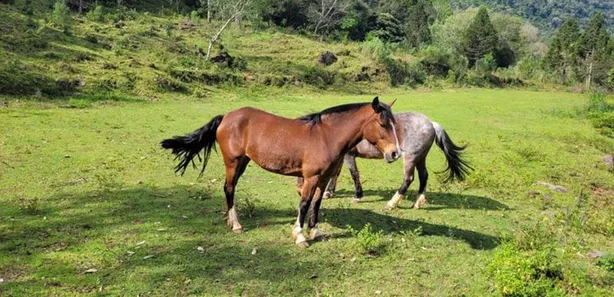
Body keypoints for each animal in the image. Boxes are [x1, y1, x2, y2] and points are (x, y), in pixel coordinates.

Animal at [162, 96, 404, 245]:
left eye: (393, 123)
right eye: (383, 124)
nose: (395, 153)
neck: (326, 136)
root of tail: (226, 116)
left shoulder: (323, 178)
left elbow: (316, 203)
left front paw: (315, 230)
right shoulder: (310, 178)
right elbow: (304, 204)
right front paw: (300, 236)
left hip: (242, 163)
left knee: (229, 188)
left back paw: (229, 220)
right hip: (233, 162)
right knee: (229, 189)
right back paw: (236, 224)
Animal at [322, 111, 472, 210]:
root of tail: (430, 123)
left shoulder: (349, 155)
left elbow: (354, 174)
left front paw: (357, 196)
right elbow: (335, 174)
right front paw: (328, 193)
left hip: (410, 157)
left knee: (408, 178)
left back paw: (391, 204)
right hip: (420, 157)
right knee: (423, 176)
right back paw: (417, 203)